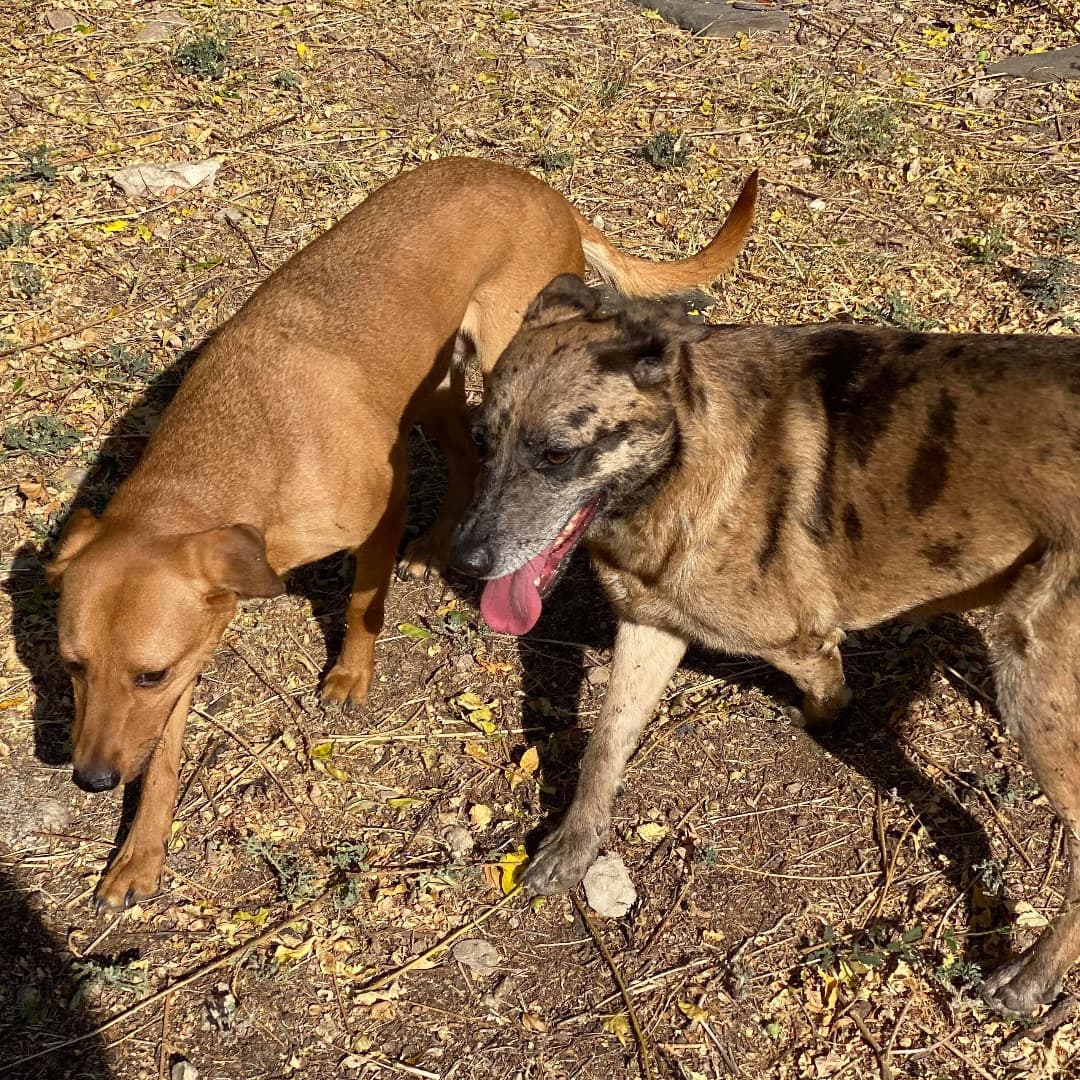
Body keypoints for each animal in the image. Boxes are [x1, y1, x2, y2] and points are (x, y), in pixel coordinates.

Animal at [46, 156, 756, 907]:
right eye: (73, 666)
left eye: (147, 673)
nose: (89, 780)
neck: (244, 442)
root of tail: (541, 189)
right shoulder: (195, 638)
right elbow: (160, 757)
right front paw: (140, 854)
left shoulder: (373, 514)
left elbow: (364, 603)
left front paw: (351, 675)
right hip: (440, 380)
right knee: (467, 454)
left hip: (501, 360)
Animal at [451, 276, 1080, 1010]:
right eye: (481, 442)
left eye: (556, 454)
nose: (466, 559)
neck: (685, 456)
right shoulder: (651, 627)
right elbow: (604, 743)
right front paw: (575, 842)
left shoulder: (795, 638)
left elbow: (824, 679)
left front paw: (826, 714)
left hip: (1031, 678)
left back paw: (1033, 975)